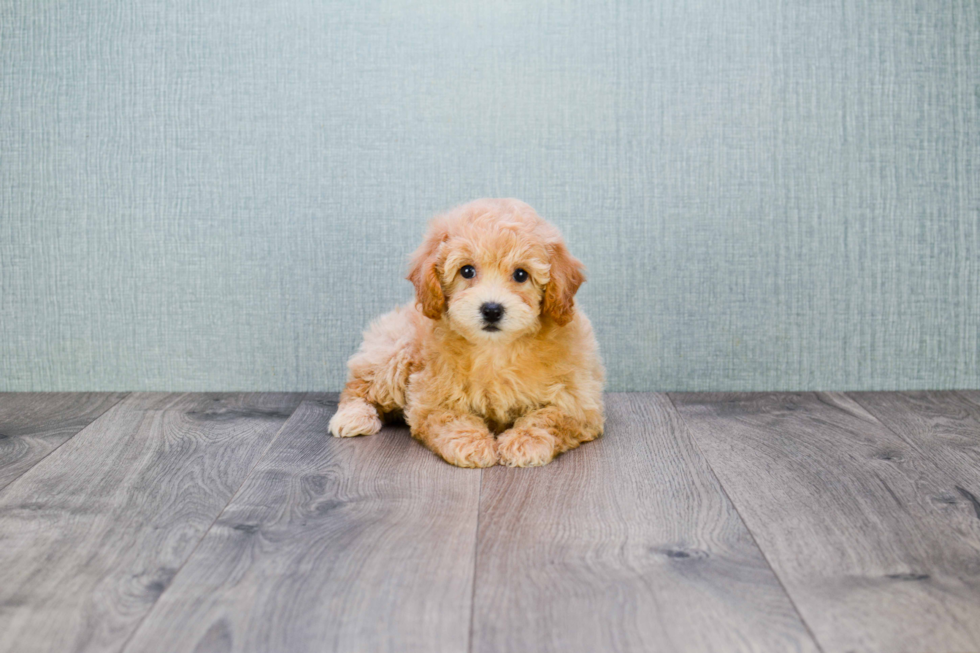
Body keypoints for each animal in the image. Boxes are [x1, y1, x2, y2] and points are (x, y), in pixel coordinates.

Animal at [330, 196, 604, 466]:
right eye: (467, 271)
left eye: (521, 274)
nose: (492, 309)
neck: (495, 349)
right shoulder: (429, 397)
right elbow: (448, 416)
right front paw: (472, 443)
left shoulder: (580, 402)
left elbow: (551, 417)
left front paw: (526, 442)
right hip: (395, 349)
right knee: (360, 386)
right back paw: (353, 416)